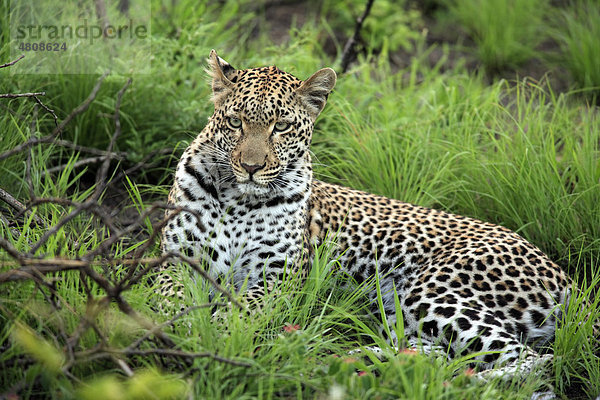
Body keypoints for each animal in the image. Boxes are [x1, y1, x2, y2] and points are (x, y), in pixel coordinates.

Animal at [161, 50, 572, 382]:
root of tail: (566, 278)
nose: (250, 167)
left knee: (532, 359)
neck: (237, 199)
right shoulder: (176, 259)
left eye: (282, 126)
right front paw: (183, 328)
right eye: (235, 123)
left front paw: (215, 336)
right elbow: (171, 297)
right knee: (439, 352)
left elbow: (240, 310)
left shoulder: (276, 276)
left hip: (434, 289)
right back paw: (349, 358)